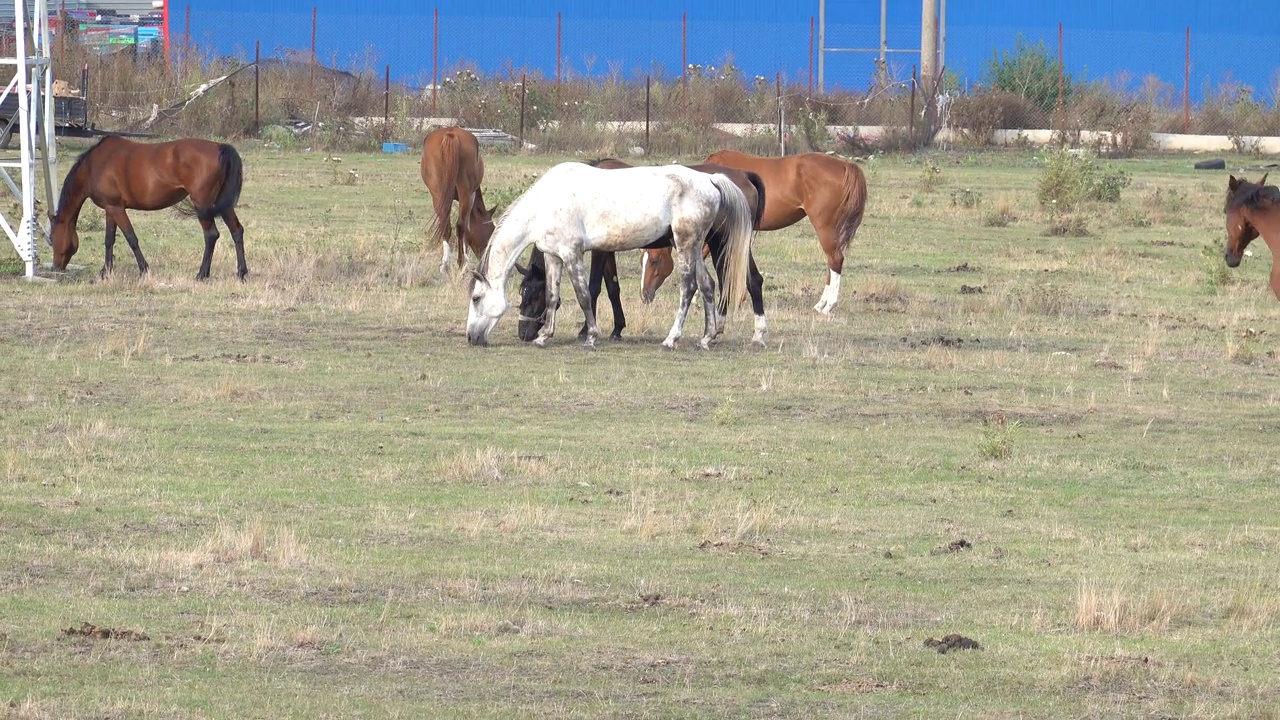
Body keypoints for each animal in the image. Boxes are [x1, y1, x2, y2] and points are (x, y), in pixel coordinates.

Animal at [49, 134, 245, 280]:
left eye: (52, 238)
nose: (55, 267)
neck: (94, 165)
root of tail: (220, 147)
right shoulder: (110, 209)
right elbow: (109, 240)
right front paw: (106, 272)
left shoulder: (116, 209)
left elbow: (131, 238)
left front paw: (144, 270)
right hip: (223, 205)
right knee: (236, 231)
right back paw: (241, 273)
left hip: (202, 206)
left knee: (211, 235)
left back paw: (202, 275)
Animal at [422, 126, 496, 271]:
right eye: (491, 230)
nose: (485, 261)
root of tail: (450, 133)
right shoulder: (471, 196)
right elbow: (467, 227)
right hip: (465, 193)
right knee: (460, 225)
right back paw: (462, 263)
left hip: (438, 194)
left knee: (445, 225)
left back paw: (445, 265)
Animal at [468, 158, 747, 348]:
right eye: (522, 293)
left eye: (476, 298)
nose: (471, 337)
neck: (547, 203)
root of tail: (710, 180)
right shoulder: (554, 256)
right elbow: (552, 296)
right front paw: (545, 336)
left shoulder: (573, 254)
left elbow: (584, 295)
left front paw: (591, 336)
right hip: (694, 247)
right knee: (708, 285)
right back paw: (707, 338)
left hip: (685, 244)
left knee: (689, 288)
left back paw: (671, 339)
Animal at [645, 147, 865, 311]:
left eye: (654, 261)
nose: (645, 295)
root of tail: (846, 165)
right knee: (833, 261)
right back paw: (822, 303)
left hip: (824, 226)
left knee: (835, 259)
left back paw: (828, 305)